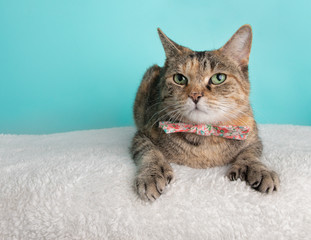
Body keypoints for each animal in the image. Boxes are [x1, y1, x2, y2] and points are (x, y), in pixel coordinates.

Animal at [130, 24, 282, 201]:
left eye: (219, 78)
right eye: (179, 78)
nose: (195, 95)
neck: (206, 136)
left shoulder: (253, 137)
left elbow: (251, 153)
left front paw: (260, 169)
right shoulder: (142, 134)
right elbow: (149, 151)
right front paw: (151, 174)